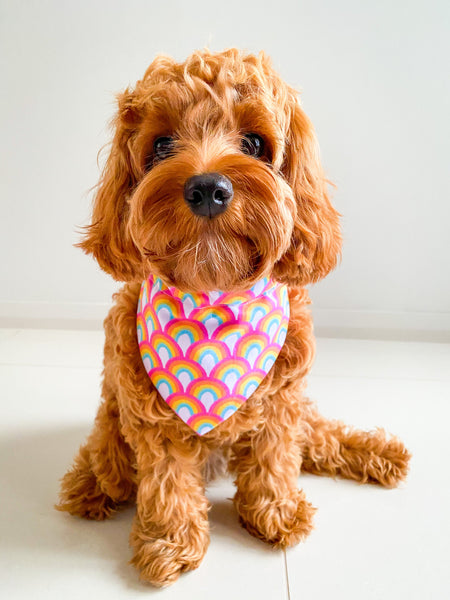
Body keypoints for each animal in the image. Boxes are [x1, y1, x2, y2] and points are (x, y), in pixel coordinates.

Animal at [57, 49, 412, 588]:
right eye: (161, 145)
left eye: (254, 143)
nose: (208, 188)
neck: (214, 295)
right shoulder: (151, 418)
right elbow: (167, 481)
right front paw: (171, 543)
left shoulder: (281, 403)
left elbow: (274, 458)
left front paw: (274, 513)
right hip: (114, 419)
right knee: (108, 458)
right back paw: (89, 485)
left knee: (319, 436)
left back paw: (380, 453)